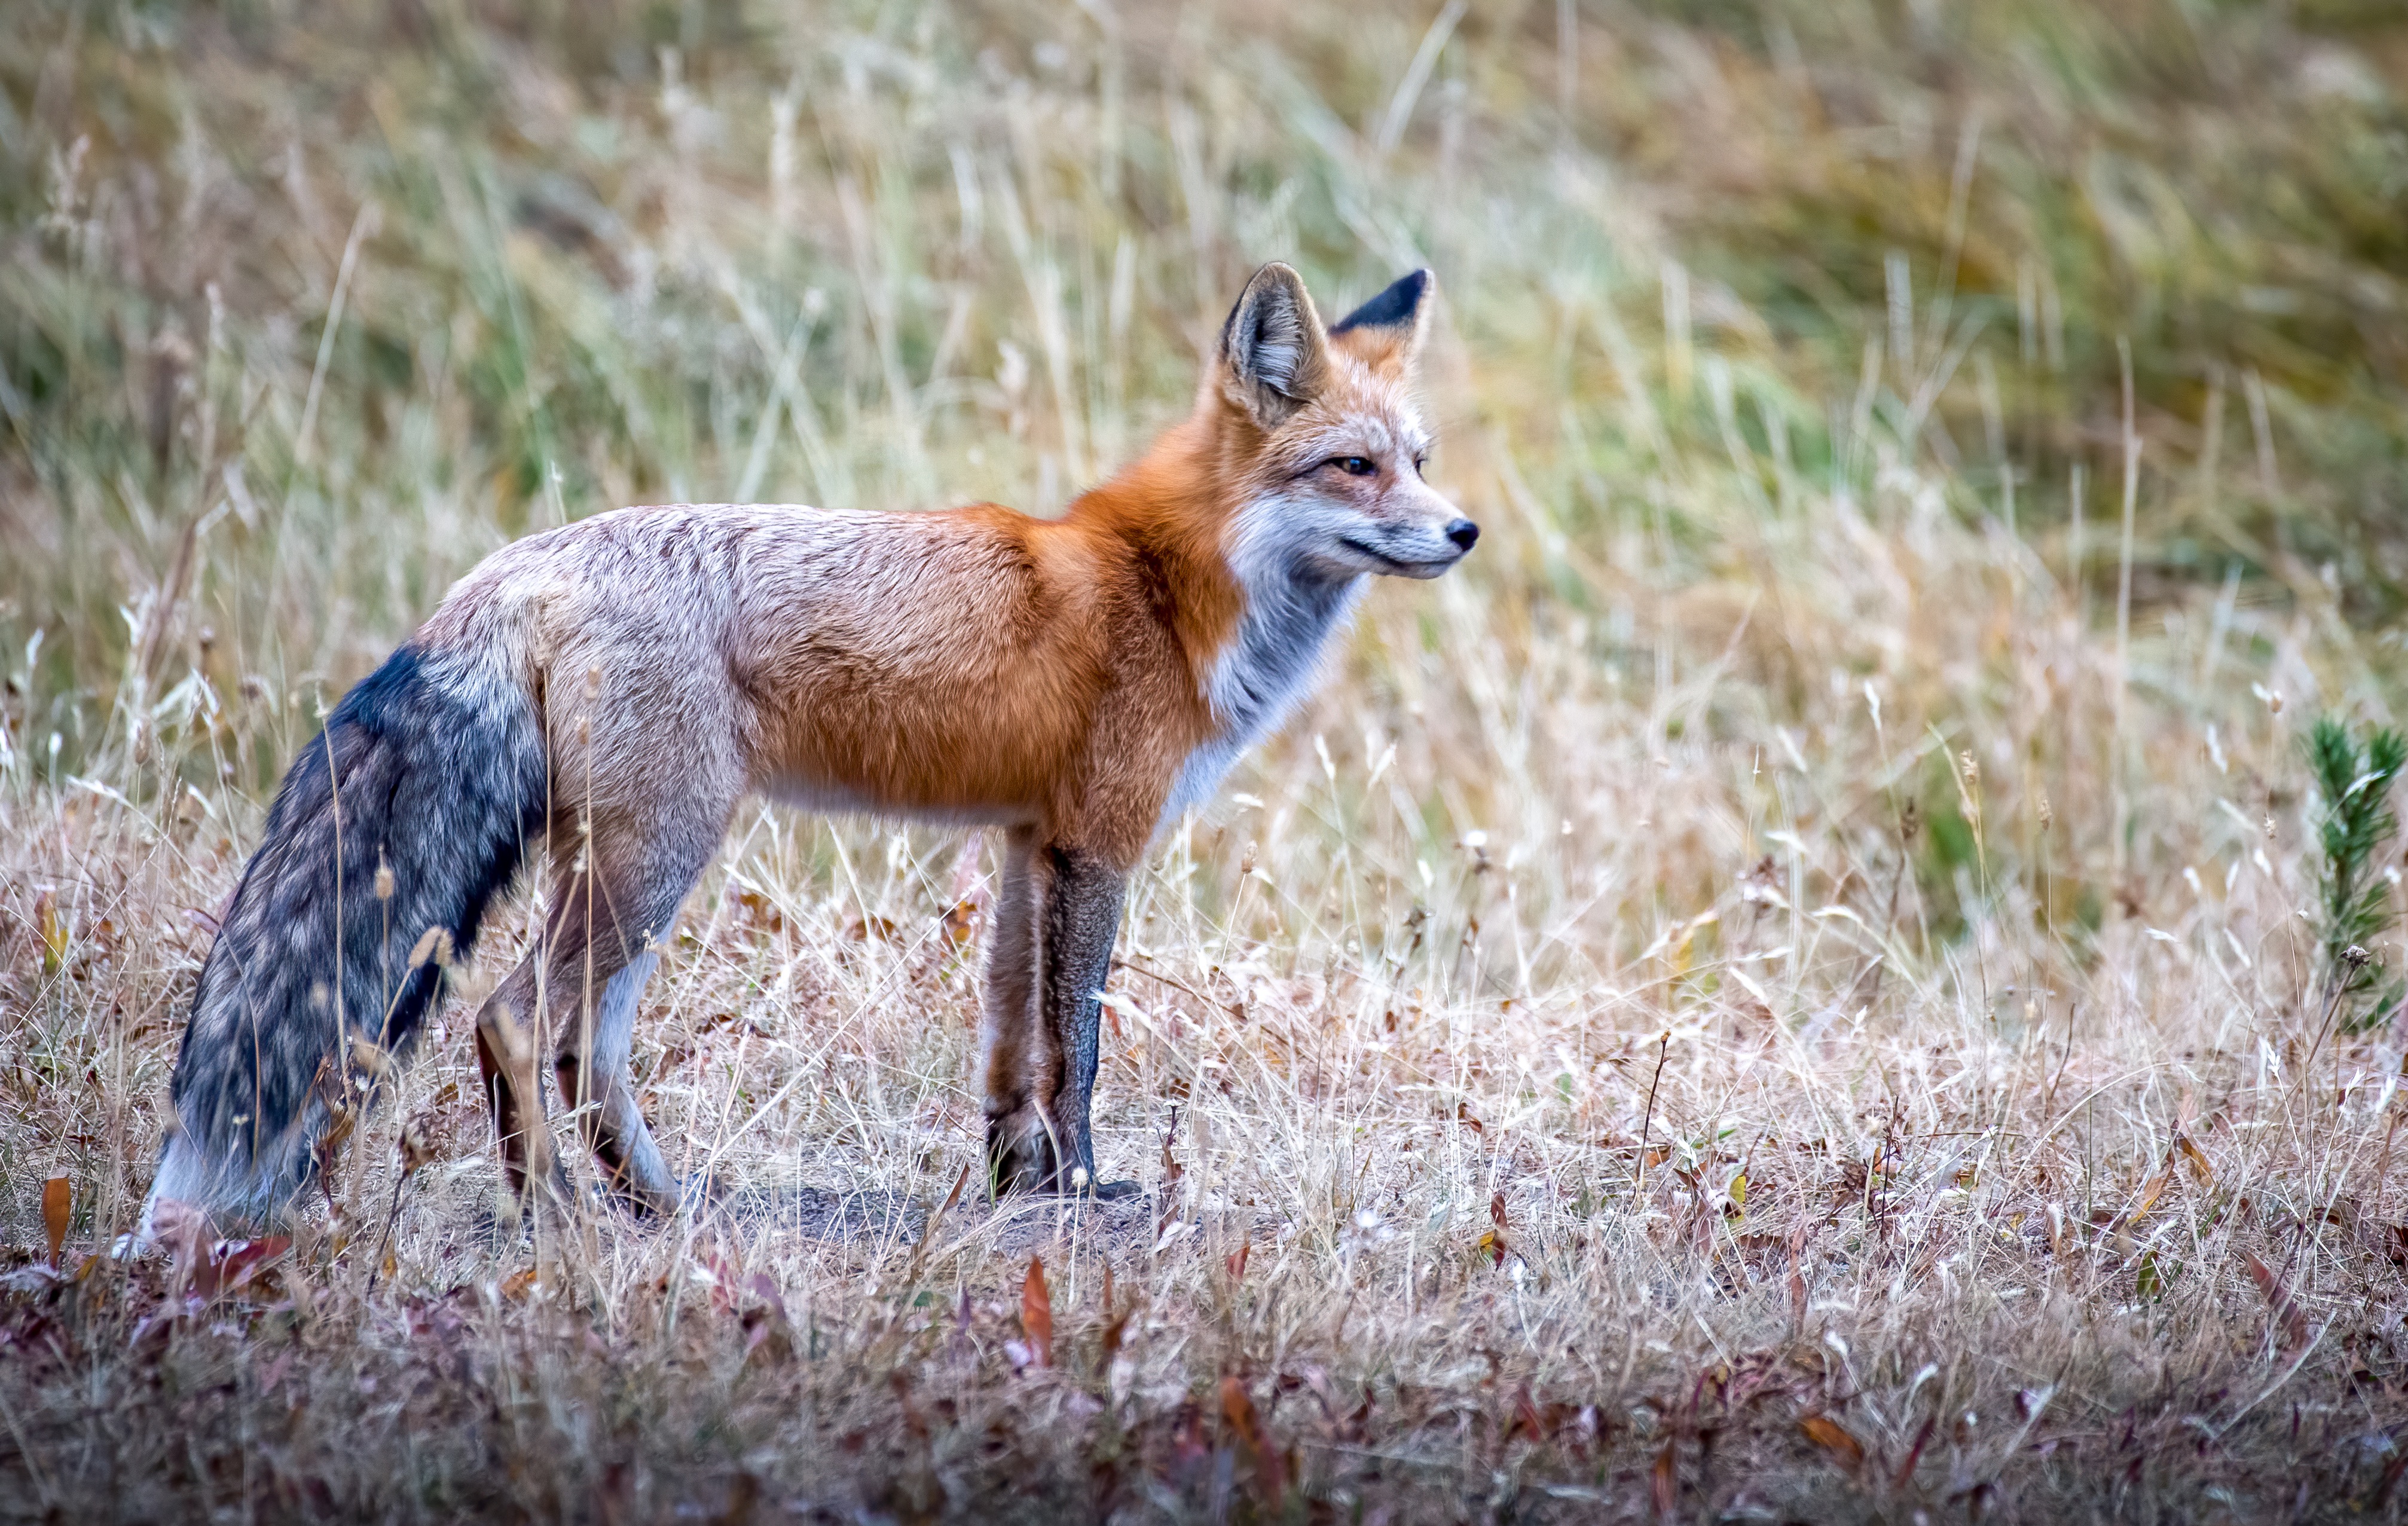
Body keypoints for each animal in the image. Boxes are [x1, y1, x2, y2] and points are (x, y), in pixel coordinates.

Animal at [150, 261, 1474, 1222]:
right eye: (1352, 467)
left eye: (1417, 460)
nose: (1461, 530)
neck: (1162, 585)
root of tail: (518, 563)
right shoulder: (1098, 843)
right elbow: (1080, 1049)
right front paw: (1086, 1188)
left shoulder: (1023, 840)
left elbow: (1010, 1045)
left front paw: (1018, 1185)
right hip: (657, 853)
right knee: (520, 1020)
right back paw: (558, 1216)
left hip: (624, 860)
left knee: (590, 1045)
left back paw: (652, 1202)